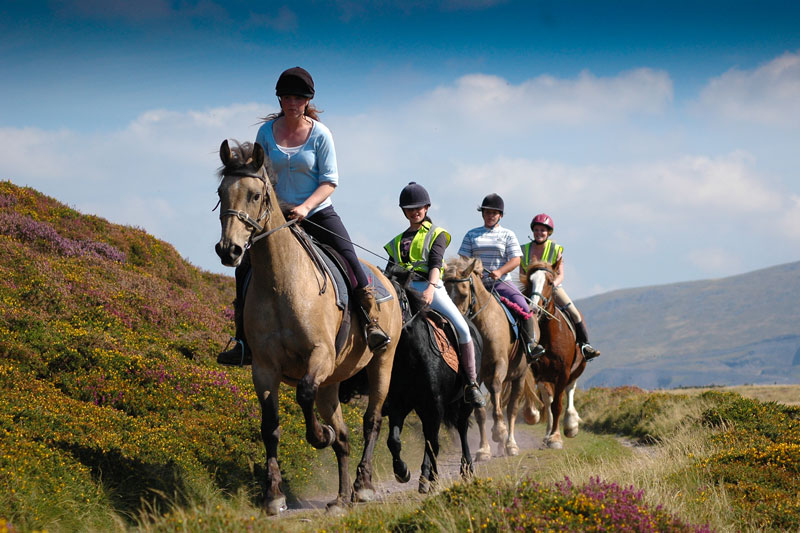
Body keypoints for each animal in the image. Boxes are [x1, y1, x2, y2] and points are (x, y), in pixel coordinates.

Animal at [214, 139, 404, 512]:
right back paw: (341, 497)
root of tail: (387, 281)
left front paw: (318, 436)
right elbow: (270, 426)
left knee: (372, 420)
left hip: (382, 363)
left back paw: (363, 485)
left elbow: (303, 394)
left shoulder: (320, 355)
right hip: (333, 381)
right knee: (343, 436)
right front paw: (273, 495)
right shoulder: (264, 368)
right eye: (221, 192)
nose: (229, 250)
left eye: (255, 195)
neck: (281, 281)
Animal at [382, 270, 482, 494]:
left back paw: (466, 468)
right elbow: (394, 440)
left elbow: (433, 444)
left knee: (461, 428)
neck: (411, 355)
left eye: (398, 298)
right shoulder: (399, 404)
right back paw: (423, 477)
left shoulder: (435, 405)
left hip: (462, 403)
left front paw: (434, 480)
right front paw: (402, 472)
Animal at [444, 256, 532, 458]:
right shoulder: (475, 373)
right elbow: (480, 412)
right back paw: (501, 446)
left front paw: (499, 431)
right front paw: (484, 449)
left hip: (520, 376)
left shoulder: (499, 364)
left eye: (463, 293)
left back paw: (511, 444)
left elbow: (495, 389)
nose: (453, 322)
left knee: (512, 409)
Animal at [520, 260, 588, 446]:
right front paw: (535, 418)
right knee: (548, 399)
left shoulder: (564, 372)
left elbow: (557, 405)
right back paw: (547, 434)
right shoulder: (536, 371)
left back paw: (571, 425)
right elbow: (542, 404)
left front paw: (556, 437)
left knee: (570, 390)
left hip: (576, 369)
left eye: (550, 282)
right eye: (530, 281)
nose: (534, 308)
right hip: (546, 377)